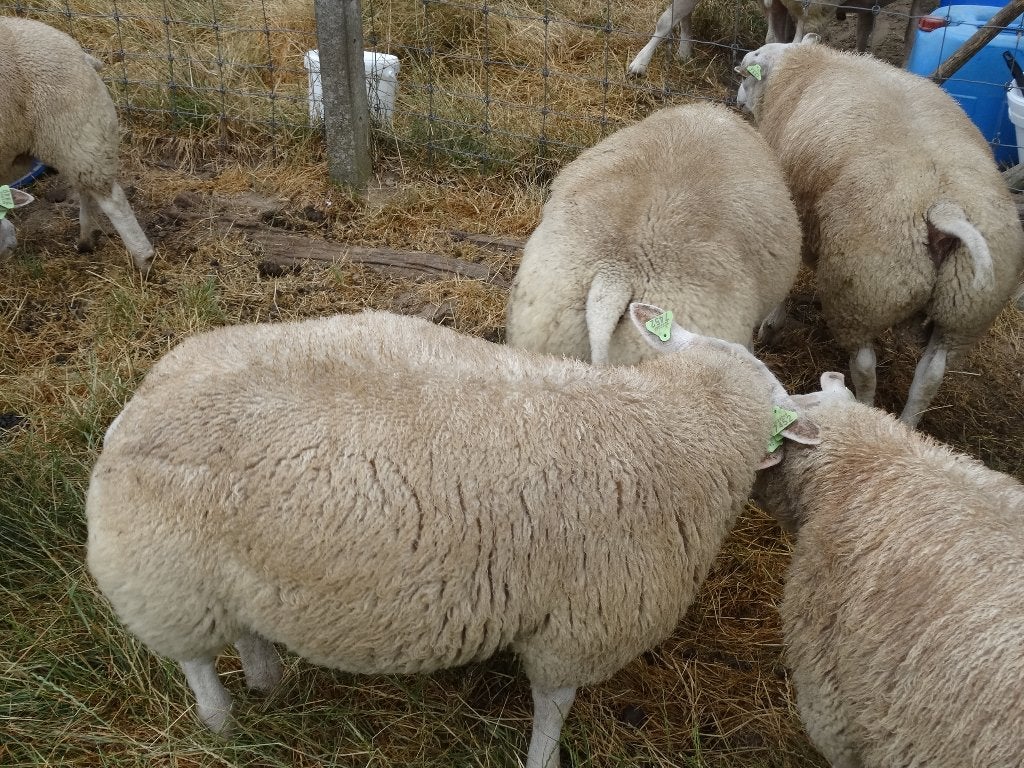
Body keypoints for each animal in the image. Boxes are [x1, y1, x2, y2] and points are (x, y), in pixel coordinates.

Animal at [0, 17, 153, 273]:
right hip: (75, 138)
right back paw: (87, 239)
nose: (11, 247)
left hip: (72, 128)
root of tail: (79, 52)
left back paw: (144, 258)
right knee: (84, 188)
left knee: (112, 199)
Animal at [86, 303, 819, 768]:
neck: (677, 424)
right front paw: (543, 759)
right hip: (165, 582)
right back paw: (224, 724)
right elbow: (553, 705)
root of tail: (135, 410)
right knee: (197, 663)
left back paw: (269, 682)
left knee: (246, 630)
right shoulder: (577, 626)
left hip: (226, 575)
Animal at [735, 36, 1024, 427]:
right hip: (964, 312)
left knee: (865, 367)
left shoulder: (794, 210)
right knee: (930, 376)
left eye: (746, 74)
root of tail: (944, 210)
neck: (805, 65)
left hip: (864, 289)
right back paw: (908, 424)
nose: (736, 98)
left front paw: (771, 325)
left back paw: (867, 407)